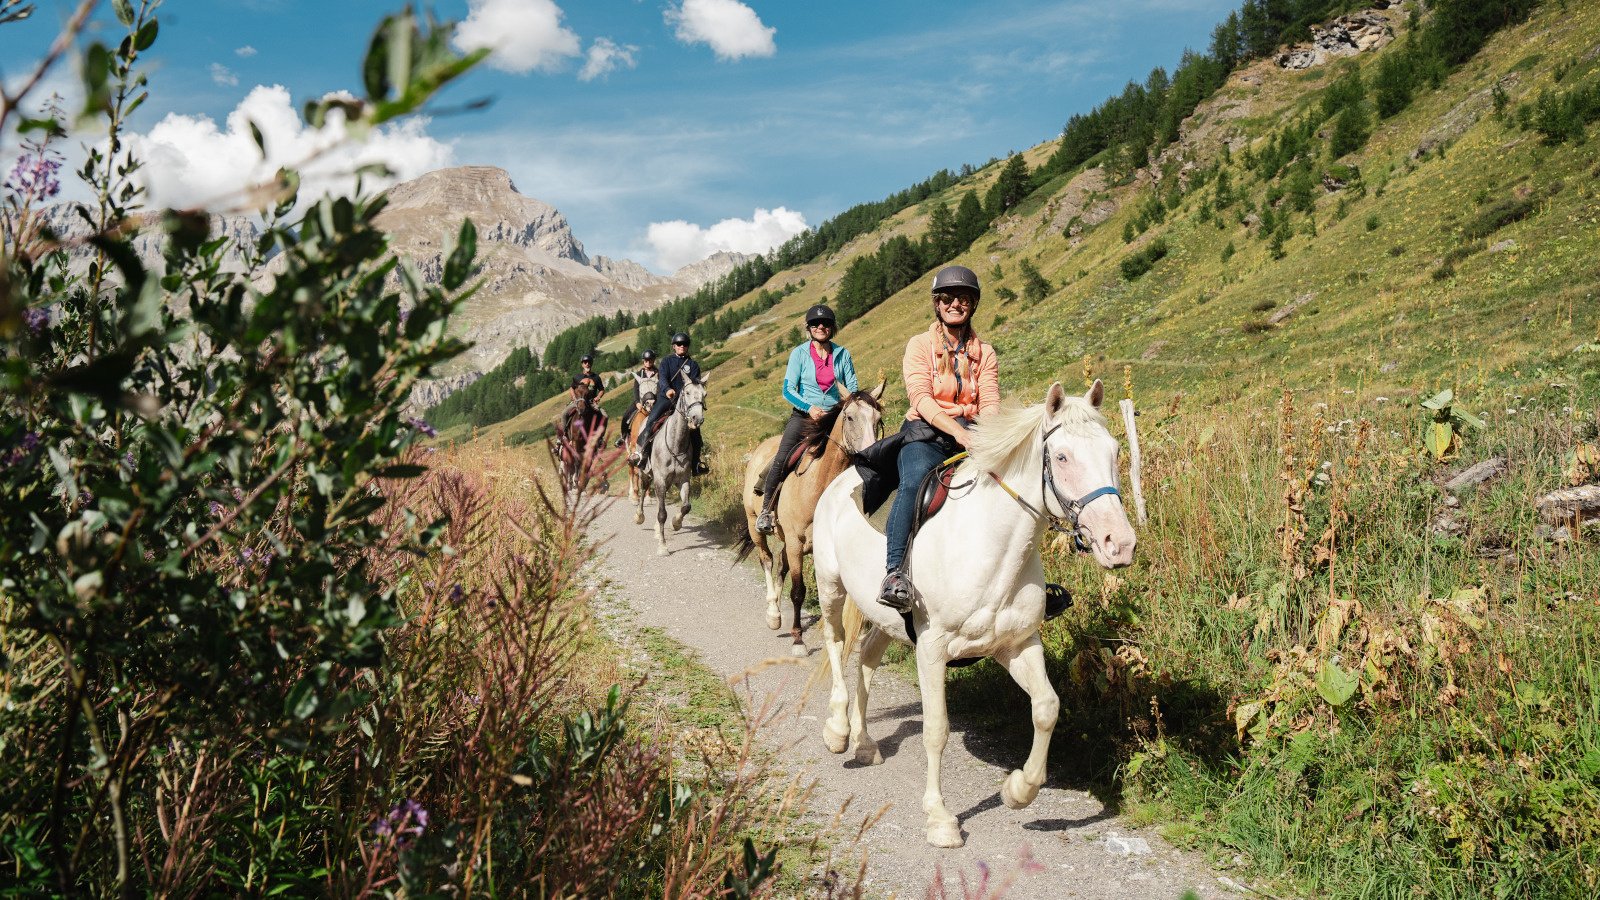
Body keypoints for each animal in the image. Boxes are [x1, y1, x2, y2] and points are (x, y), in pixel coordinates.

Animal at [636, 371, 707, 554]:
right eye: (687, 393)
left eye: (704, 395)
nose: (697, 419)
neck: (676, 443)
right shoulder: (660, 479)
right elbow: (662, 513)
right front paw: (662, 546)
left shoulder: (683, 479)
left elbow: (685, 507)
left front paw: (676, 523)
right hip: (646, 472)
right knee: (643, 490)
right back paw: (639, 516)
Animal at [732, 381, 883, 656]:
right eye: (849, 416)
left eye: (878, 418)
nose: (871, 455)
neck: (817, 485)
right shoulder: (795, 543)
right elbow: (798, 591)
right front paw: (798, 640)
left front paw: (854, 637)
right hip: (755, 525)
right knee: (767, 560)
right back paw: (773, 614)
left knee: (781, 564)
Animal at [812, 381, 1139, 845]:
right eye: (1061, 457)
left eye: (1114, 450)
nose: (1120, 544)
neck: (991, 545)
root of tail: (846, 477)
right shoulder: (931, 649)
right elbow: (936, 730)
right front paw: (940, 818)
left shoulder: (1017, 645)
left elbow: (1047, 707)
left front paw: (1019, 790)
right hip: (831, 586)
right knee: (836, 643)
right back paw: (838, 731)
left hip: (886, 620)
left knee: (867, 657)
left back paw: (865, 743)